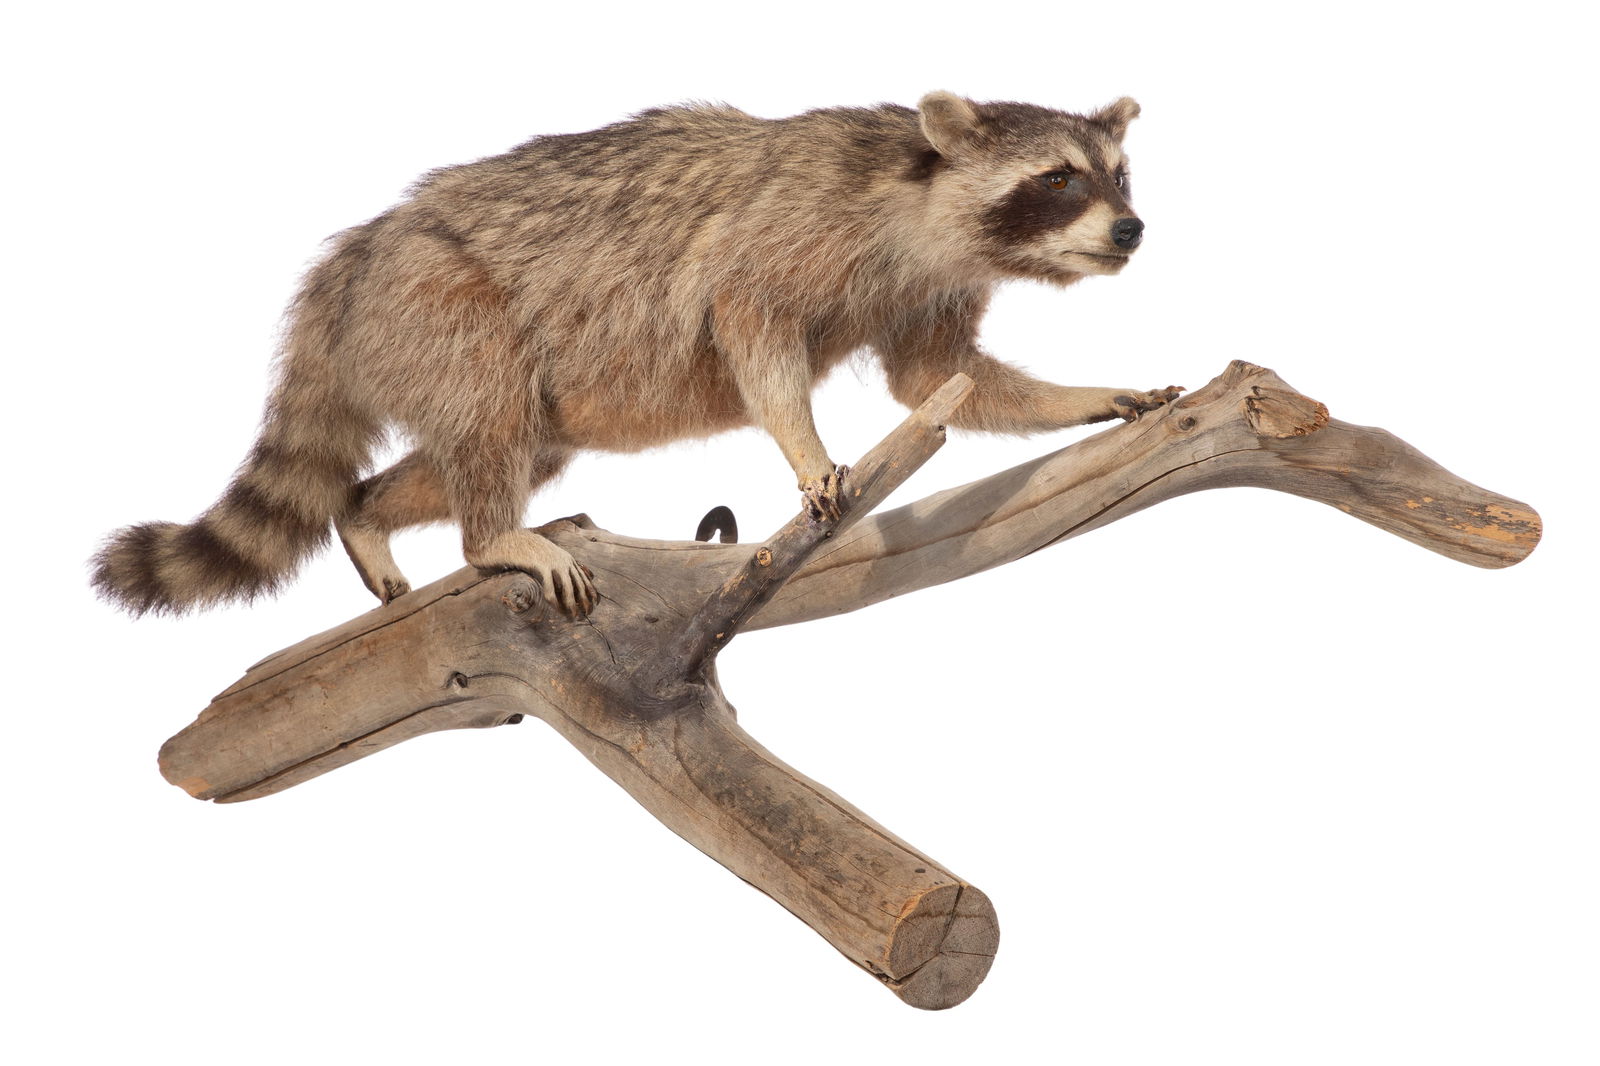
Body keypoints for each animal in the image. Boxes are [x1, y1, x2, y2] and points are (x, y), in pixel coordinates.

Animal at [92, 91, 1176, 619]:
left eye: (1119, 176)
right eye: (1058, 178)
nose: (1132, 230)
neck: (922, 202)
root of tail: (355, 259)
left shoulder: (927, 287)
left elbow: (938, 381)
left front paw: (1087, 395)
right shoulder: (798, 227)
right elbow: (750, 325)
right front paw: (804, 445)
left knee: (512, 444)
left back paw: (366, 513)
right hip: (443, 303)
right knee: (489, 421)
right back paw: (494, 535)